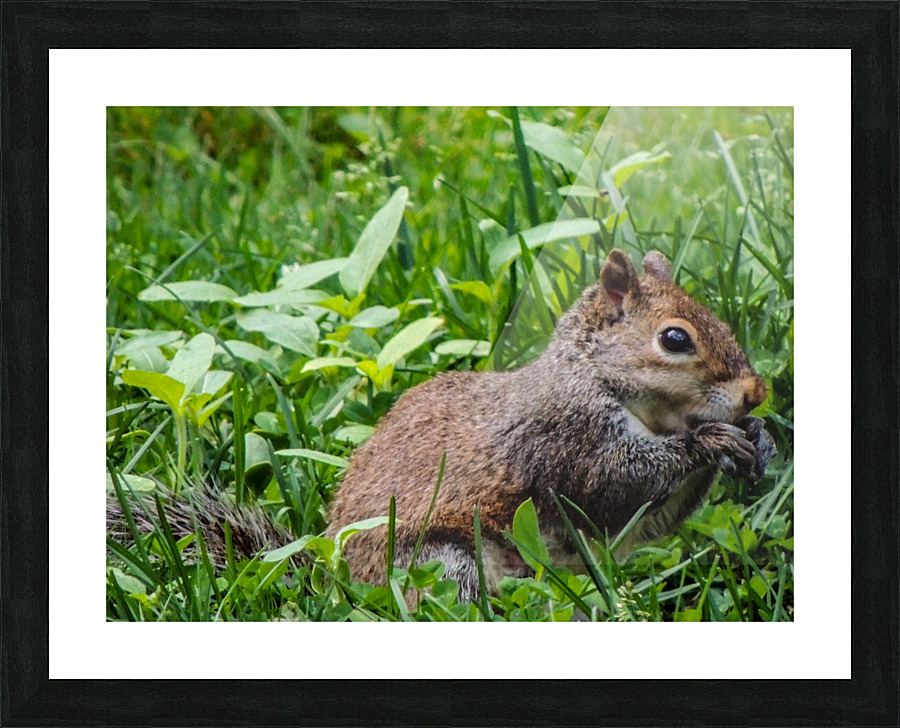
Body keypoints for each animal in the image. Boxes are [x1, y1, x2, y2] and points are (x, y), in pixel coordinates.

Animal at [108, 249, 775, 603]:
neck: (592, 378)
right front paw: (707, 441)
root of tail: (337, 585)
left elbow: (647, 520)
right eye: (674, 339)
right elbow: (617, 485)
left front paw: (758, 439)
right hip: (442, 561)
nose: (756, 393)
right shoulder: (564, 437)